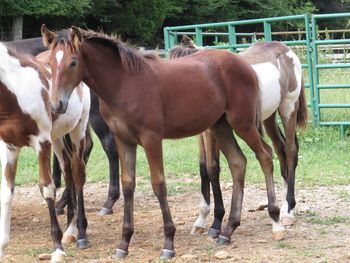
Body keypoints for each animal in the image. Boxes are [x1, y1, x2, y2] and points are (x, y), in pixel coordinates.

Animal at [0, 42, 90, 262]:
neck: (15, 92)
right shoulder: (9, 146)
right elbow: (6, 192)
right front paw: (2, 247)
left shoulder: (41, 141)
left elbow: (47, 188)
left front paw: (57, 249)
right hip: (56, 138)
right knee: (67, 169)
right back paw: (70, 232)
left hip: (77, 130)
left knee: (78, 173)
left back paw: (79, 234)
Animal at [41, 25, 288, 260]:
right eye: (50, 63)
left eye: (73, 62)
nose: (57, 105)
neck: (124, 84)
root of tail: (245, 64)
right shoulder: (124, 140)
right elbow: (128, 184)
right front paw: (124, 244)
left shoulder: (151, 139)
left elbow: (159, 184)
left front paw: (168, 243)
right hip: (221, 126)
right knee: (238, 162)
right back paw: (228, 230)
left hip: (242, 123)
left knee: (265, 156)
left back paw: (276, 222)